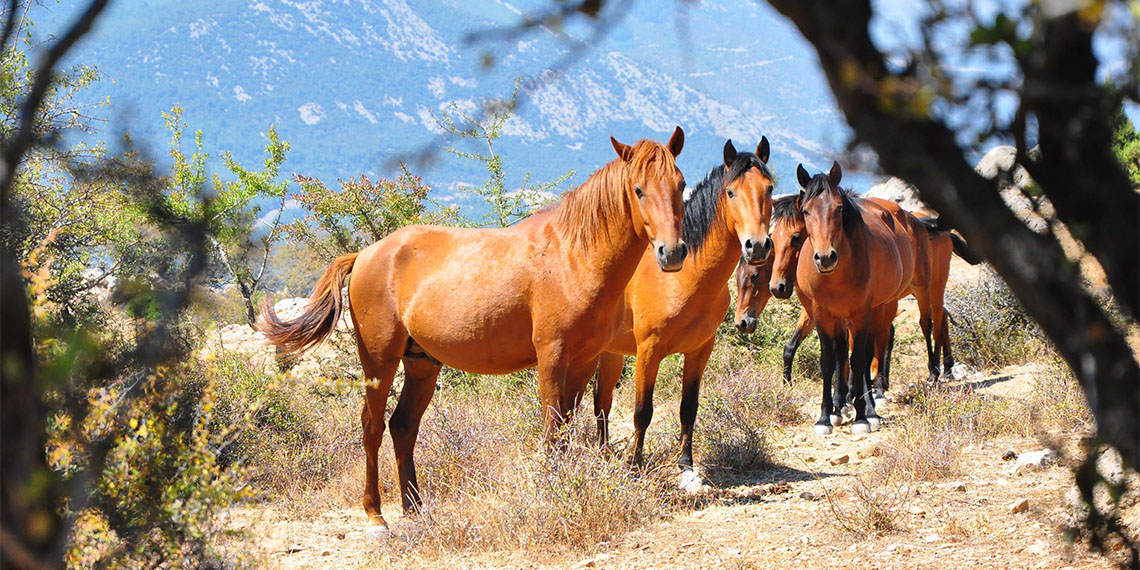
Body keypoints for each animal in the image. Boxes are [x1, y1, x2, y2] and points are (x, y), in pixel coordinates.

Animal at [257, 129, 684, 528]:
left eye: (679, 184)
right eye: (639, 189)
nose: (672, 252)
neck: (573, 255)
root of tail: (364, 254)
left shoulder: (584, 360)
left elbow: (566, 428)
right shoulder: (552, 356)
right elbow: (551, 430)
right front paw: (552, 493)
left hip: (421, 364)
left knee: (402, 426)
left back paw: (415, 508)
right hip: (379, 360)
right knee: (372, 425)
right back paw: (376, 514)